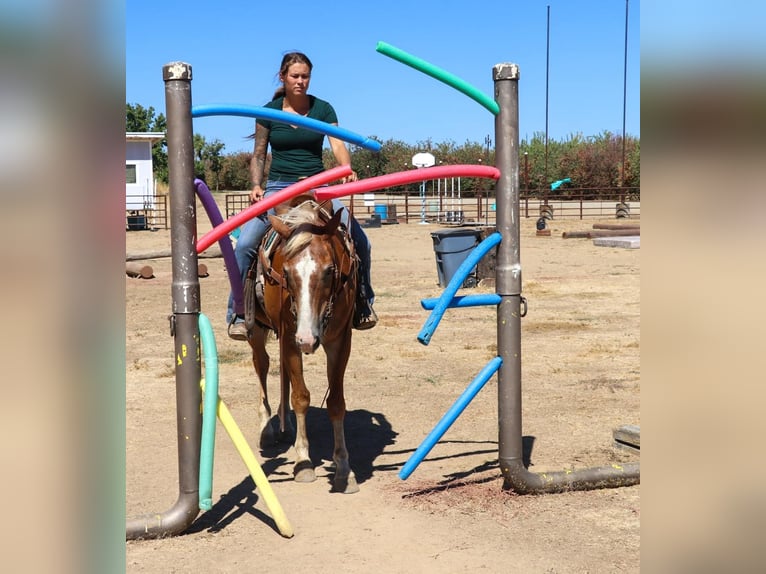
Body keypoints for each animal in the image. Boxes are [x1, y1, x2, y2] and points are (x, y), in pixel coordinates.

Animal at [244, 195, 360, 494]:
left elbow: (336, 402)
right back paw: (267, 428)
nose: (307, 339)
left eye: (330, 270)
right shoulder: (290, 338)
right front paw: (304, 461)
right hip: (257, 331)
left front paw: (344, 468)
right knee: (262, 366)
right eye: (285, 271)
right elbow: (301, 397)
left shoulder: (340, 341)